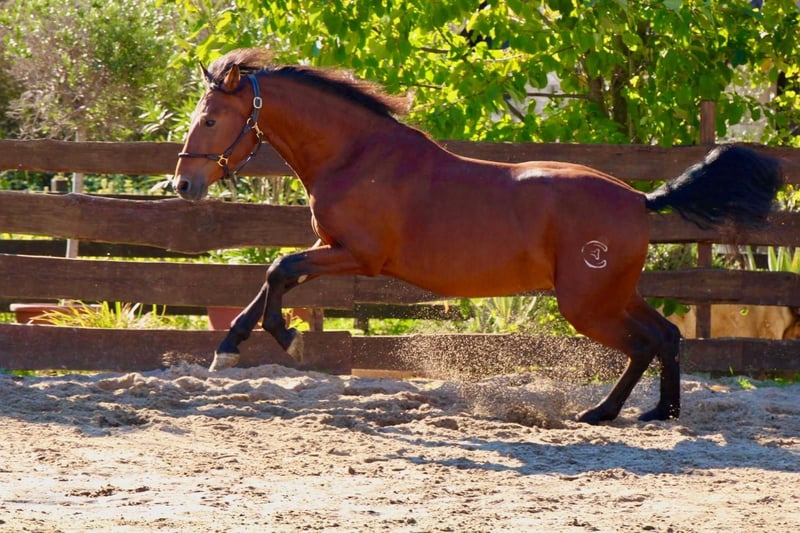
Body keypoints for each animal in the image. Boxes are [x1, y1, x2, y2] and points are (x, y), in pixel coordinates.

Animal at [173, 48, 784, 424]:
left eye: (210, 119)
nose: (183, 184)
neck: (358, 156)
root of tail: (640, 199)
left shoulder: (356, 256)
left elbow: (279, 270)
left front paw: (284, 338)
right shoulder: (332, 250)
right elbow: (271, 276)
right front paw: (229, 349)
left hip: (587, 304)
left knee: (644, 345)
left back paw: (604, 413)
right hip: (613, 294)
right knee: (668, 336)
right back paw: (658, 413)